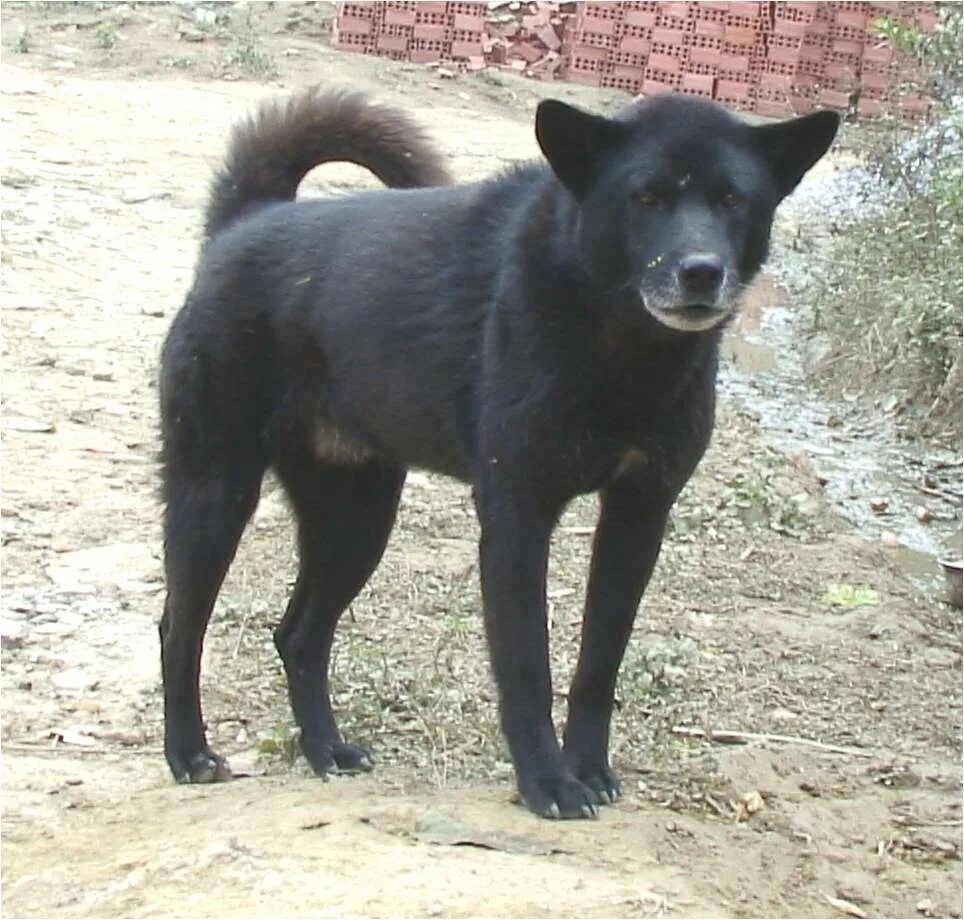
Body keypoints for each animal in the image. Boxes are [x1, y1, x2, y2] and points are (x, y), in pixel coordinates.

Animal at [160, 86, 836, 820]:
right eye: (647, 196)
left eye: (734, 199)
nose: (701, 272)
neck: (621, 351)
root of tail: (245, 222)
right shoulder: (517, 515)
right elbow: (526, 666)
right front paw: (547, 782)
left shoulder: (639, 517)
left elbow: (599, 662)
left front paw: (588, 767)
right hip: (215, 495)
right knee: (180, 627)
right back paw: (188, 753)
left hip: (357, 522)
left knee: (299, 635)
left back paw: (325, 750)